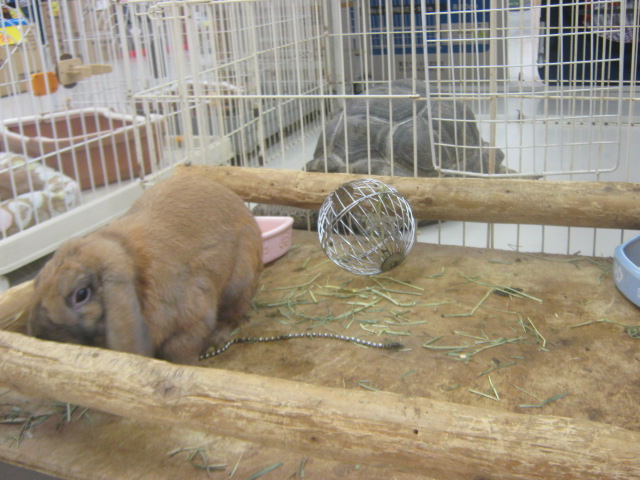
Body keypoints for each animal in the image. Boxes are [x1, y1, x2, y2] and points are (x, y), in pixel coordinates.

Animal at [27, 169, 263, 363]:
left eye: (81, 294)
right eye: (38, 284)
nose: (40, 334)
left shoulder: (192, 321)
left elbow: (180, 352)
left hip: (238, 284)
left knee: (233, 313)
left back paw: (217, 337)